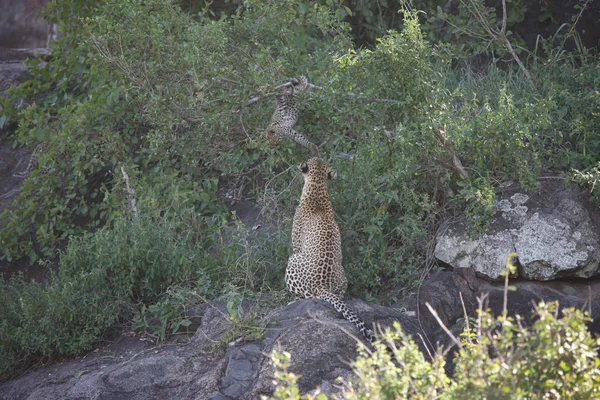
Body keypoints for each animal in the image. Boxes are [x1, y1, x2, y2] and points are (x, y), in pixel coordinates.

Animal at [288, 156, 376, 344]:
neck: (317, 189)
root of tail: (323, 287)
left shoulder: (296, 245)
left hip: (292, 260)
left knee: (304, 297)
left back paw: (291, 302)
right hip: (343, 277)